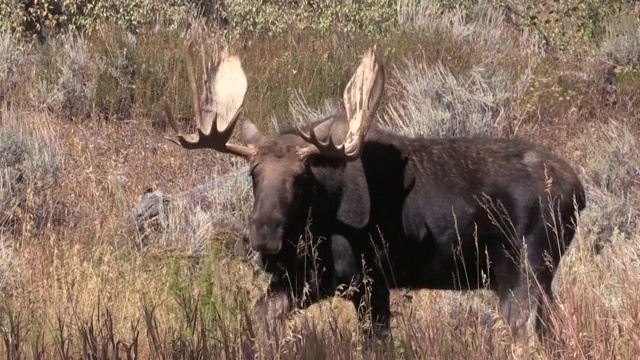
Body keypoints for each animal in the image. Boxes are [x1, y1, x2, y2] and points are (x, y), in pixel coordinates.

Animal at [164, 44, 584, 348]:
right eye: (253, 173)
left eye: (300, 178)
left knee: (529, 335)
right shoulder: (306, 279)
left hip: (526, 269)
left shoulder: (369, 281)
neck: (317, 225)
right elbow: (264, 320)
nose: (264, 235)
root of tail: (579, 190)